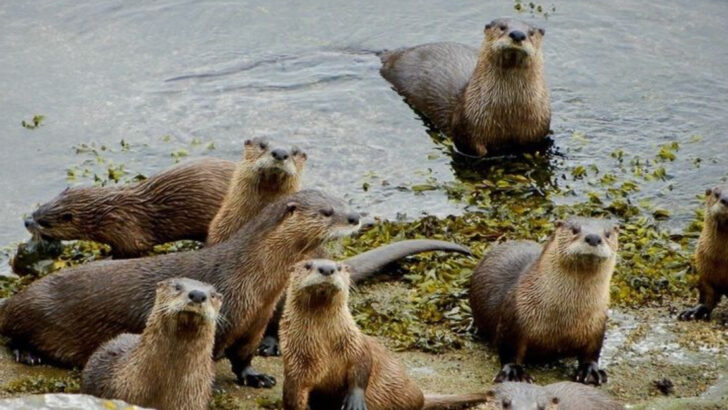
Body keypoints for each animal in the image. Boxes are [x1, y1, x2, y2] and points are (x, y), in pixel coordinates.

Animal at [0, 190, 360, 389]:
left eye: (343, 202)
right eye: (327, 212)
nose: (355, 217)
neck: (253, 280)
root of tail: (18, 297)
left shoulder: (255, 323)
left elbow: (243, 357)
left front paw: (256, 377)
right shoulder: (225, 319)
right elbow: (209, 357)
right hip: (32, 310)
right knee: (12, 333)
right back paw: (27, 353)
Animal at [280, 259, 488, 410]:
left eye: (338, 267)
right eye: (308, 265)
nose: (327, 268)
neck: (325, 346)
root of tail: (420, 395)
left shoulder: (355, 344)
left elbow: (363, 368)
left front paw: (356, 403)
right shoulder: (296, 364)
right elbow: (293, 395)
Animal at [380, 18, 550, 157]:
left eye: (531, 32)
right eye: (502, 27)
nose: (517, 34)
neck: (509, 111)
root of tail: (392, 55)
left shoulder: (539, 130)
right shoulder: (468, 129)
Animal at [469, 217, 619, 385]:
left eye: (607, 234)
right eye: (574, 230)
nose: (593, 238)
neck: (564, 318)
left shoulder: (597, 323)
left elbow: (592, 351)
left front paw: (590, 370)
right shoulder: (514, 316)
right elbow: (509, 348)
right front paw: (514, 372)